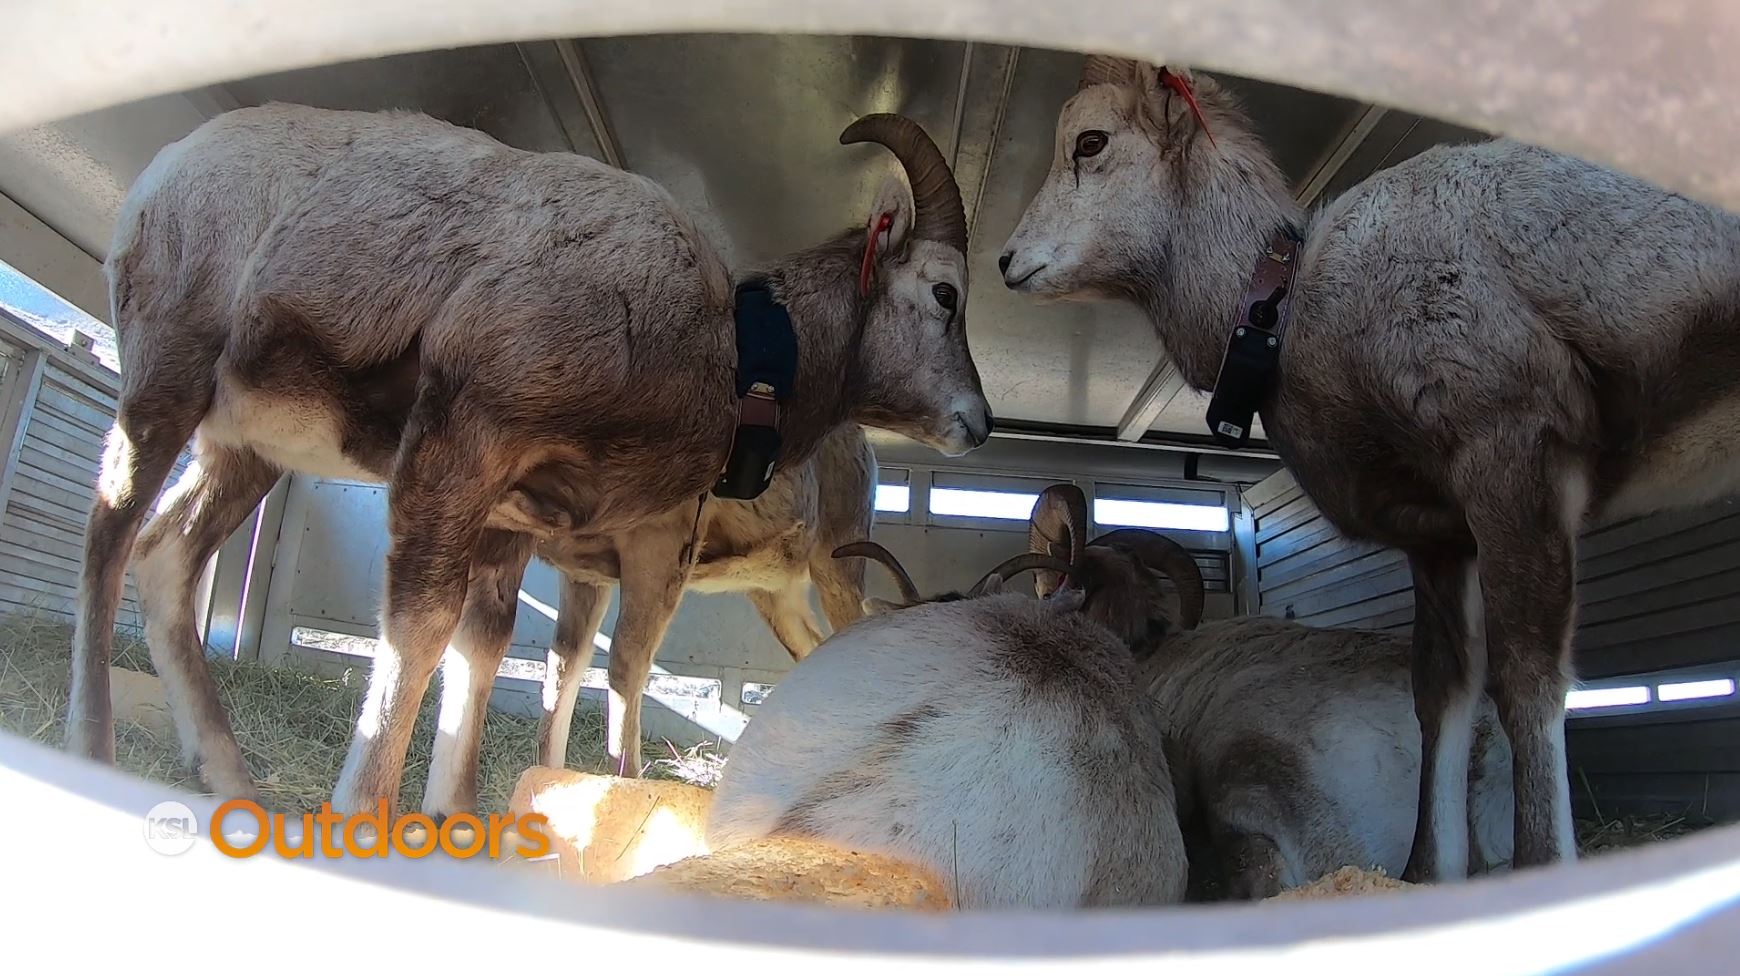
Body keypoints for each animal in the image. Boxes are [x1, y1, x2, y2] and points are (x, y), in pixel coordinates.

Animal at [67, 101, 992, 818]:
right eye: (945, 292)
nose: (977, 423)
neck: (723, 353)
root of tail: (163, 174)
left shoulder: (517, 518)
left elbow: (487, 647)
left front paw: (460, 813)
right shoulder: (466, 451)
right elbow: (430, 633)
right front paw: (368, 812)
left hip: (246, 451)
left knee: (166, 557)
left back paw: (231, 782)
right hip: (167, 380)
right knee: (109, 535)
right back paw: (93, 750)